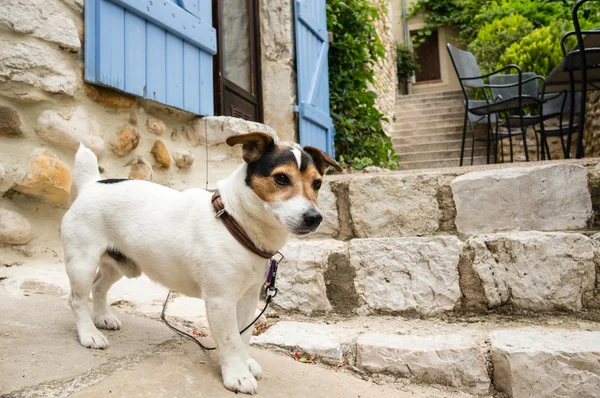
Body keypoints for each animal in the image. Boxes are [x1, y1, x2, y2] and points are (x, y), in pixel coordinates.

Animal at [62, 132, 342, 394]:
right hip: (82, 263)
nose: (314, 218)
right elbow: (230, 339)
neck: (236, 223)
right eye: (281, 178)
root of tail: (91, 185)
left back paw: (103, 319)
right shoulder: (221, 300)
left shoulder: (248, 298)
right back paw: (89, 334)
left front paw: (245, 363)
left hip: (119, 264)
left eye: (317, 183)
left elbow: (244, 336)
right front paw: (237, 375)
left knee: (99, 287)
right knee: (77, 299)